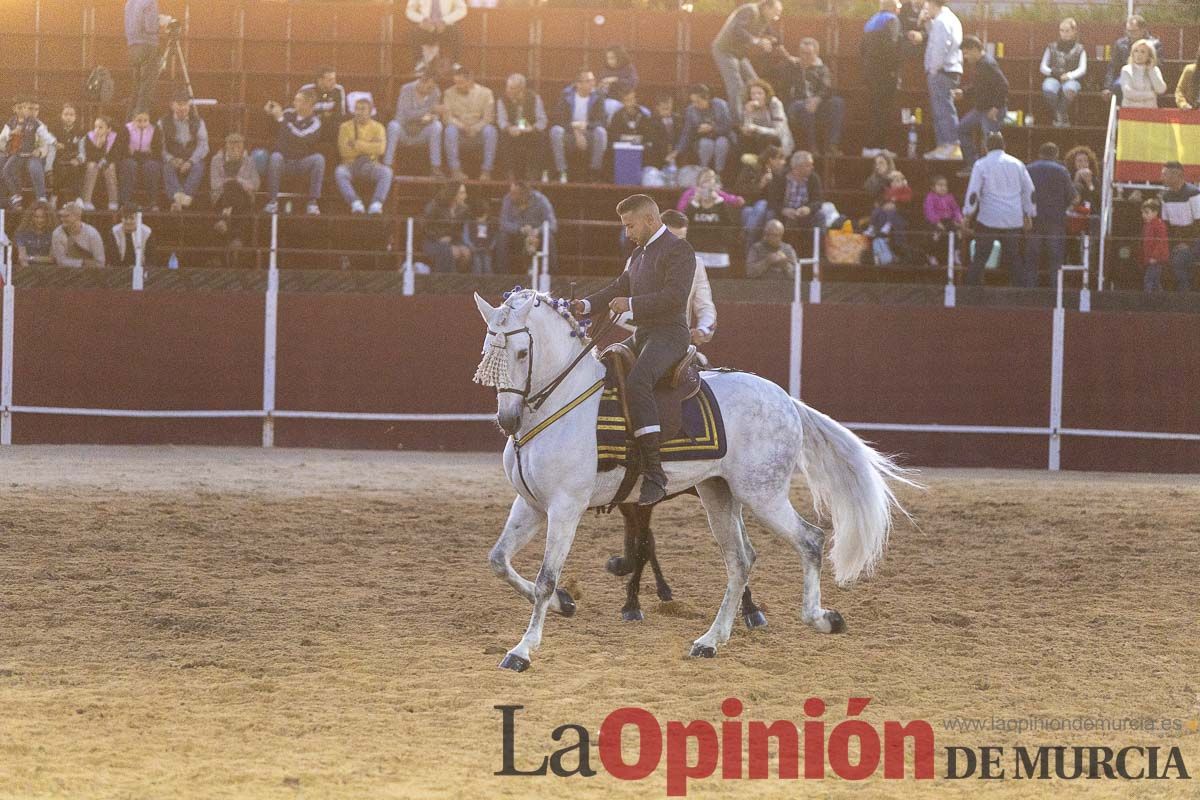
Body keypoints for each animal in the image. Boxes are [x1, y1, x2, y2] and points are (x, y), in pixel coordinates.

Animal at [472, 287, 912, 671]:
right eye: (487, 352)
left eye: (522, 352)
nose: (507, 420)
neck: (562, 403)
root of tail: (786, 399)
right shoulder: (531, 504)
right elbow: (498, 560)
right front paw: (565, 603)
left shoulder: (566, 507)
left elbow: (546, 578)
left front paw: (522, 650)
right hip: (718, 494)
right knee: (741, 560)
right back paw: (711, 641)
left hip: (763, 495)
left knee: (810, 539)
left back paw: (820, 618)